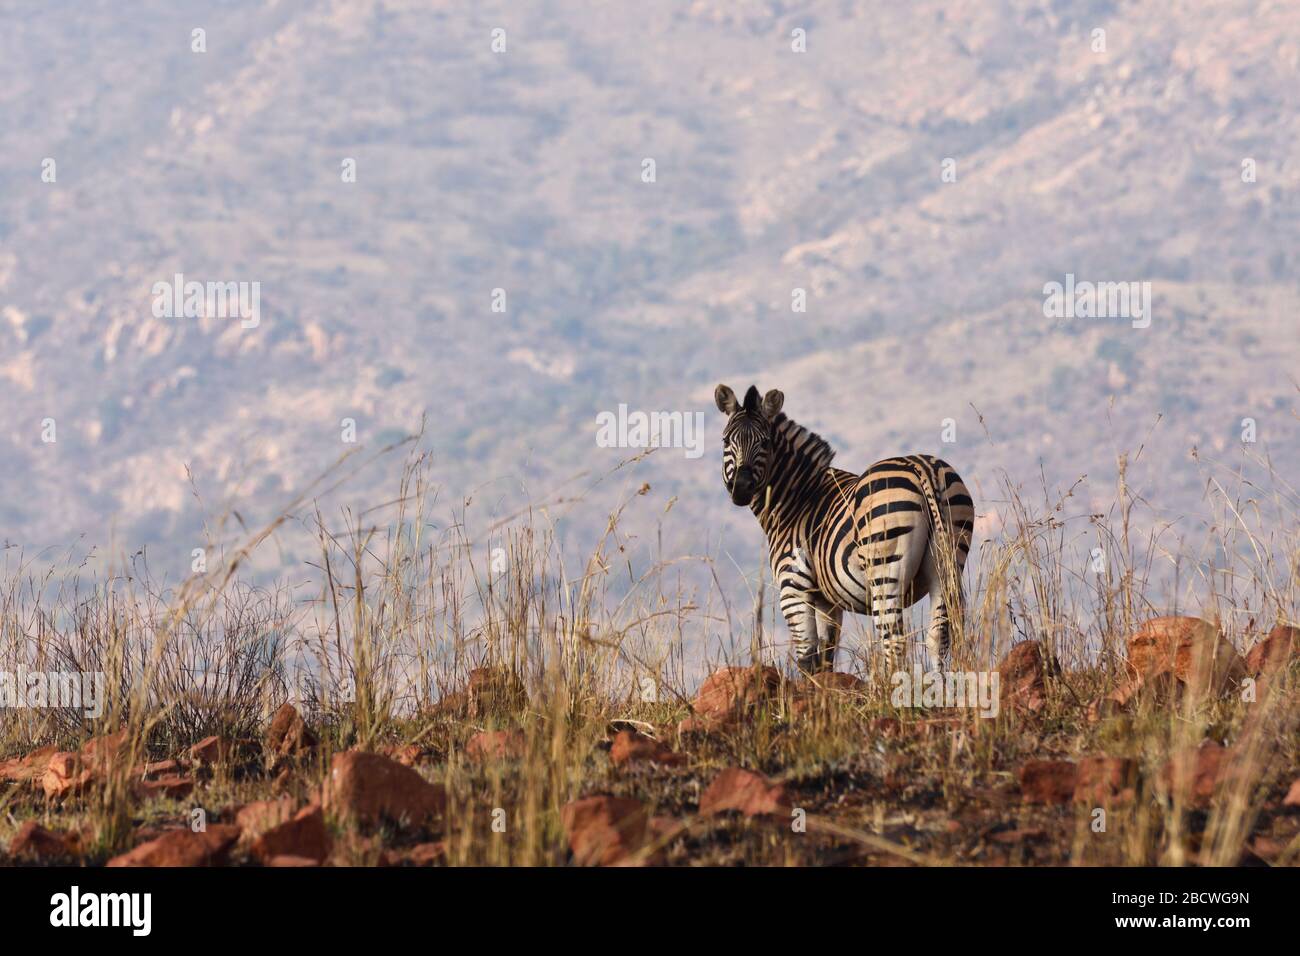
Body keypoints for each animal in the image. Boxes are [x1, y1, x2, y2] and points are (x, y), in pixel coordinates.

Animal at [715, 383, 974, 675]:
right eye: (726, 441)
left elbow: (807, 659)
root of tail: (922, 467)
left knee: (894, 642)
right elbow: (826, 657)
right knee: (938, 636)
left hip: (885, 569)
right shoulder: (828, 601)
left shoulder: (793, 587)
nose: (741, 488)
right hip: (948, 559)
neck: (798, 499)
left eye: (765, 442)